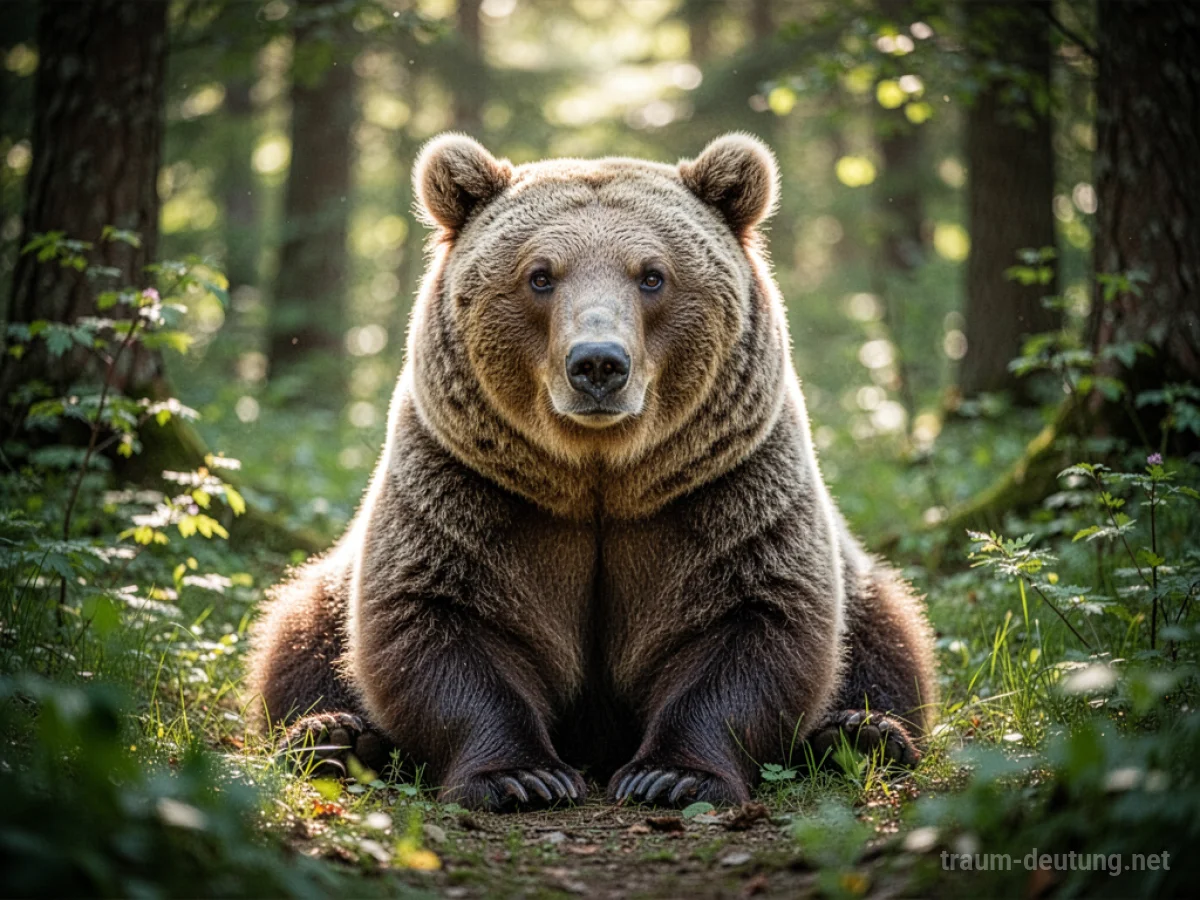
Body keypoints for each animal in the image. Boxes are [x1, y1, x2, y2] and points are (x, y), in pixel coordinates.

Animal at [246, 133, 938, 811]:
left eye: (653, 275)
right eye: (540, 275)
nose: (599, 363)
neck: (599, 476)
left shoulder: (728, 488)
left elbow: (757, 622)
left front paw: (672, 776)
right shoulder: (464, 486)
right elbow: (435, 619)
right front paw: (522, 777)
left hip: (859, 582)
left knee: (888, 640)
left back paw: (862, 734)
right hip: (332, 582)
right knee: (300, 638)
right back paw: (335, 736)